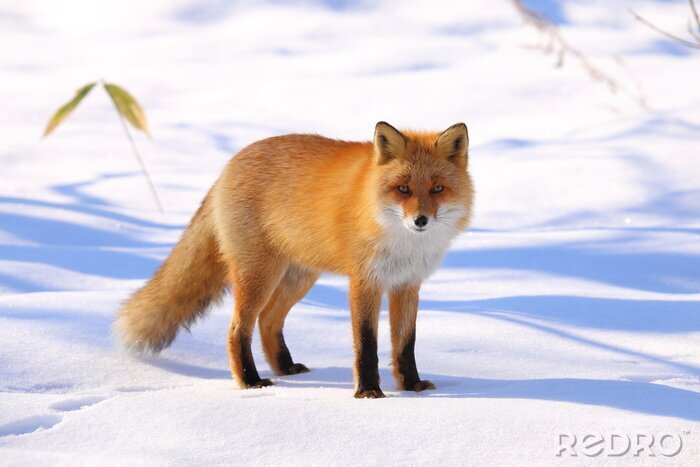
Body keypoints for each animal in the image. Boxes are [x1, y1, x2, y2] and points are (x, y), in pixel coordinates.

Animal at [116, 121, 474, 398]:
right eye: (402, 189)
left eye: (437, 188)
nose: (420, 220)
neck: (403, 243)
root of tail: (229, 165)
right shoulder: (364, 282)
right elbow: (366, 345)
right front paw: (368, 391)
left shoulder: (407, 284)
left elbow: (405, 344)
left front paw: (411, 385)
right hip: (259, 275)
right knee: (238, 329)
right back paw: (250, 381)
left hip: (298, 278)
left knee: (268, 320)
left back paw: (285, 367)